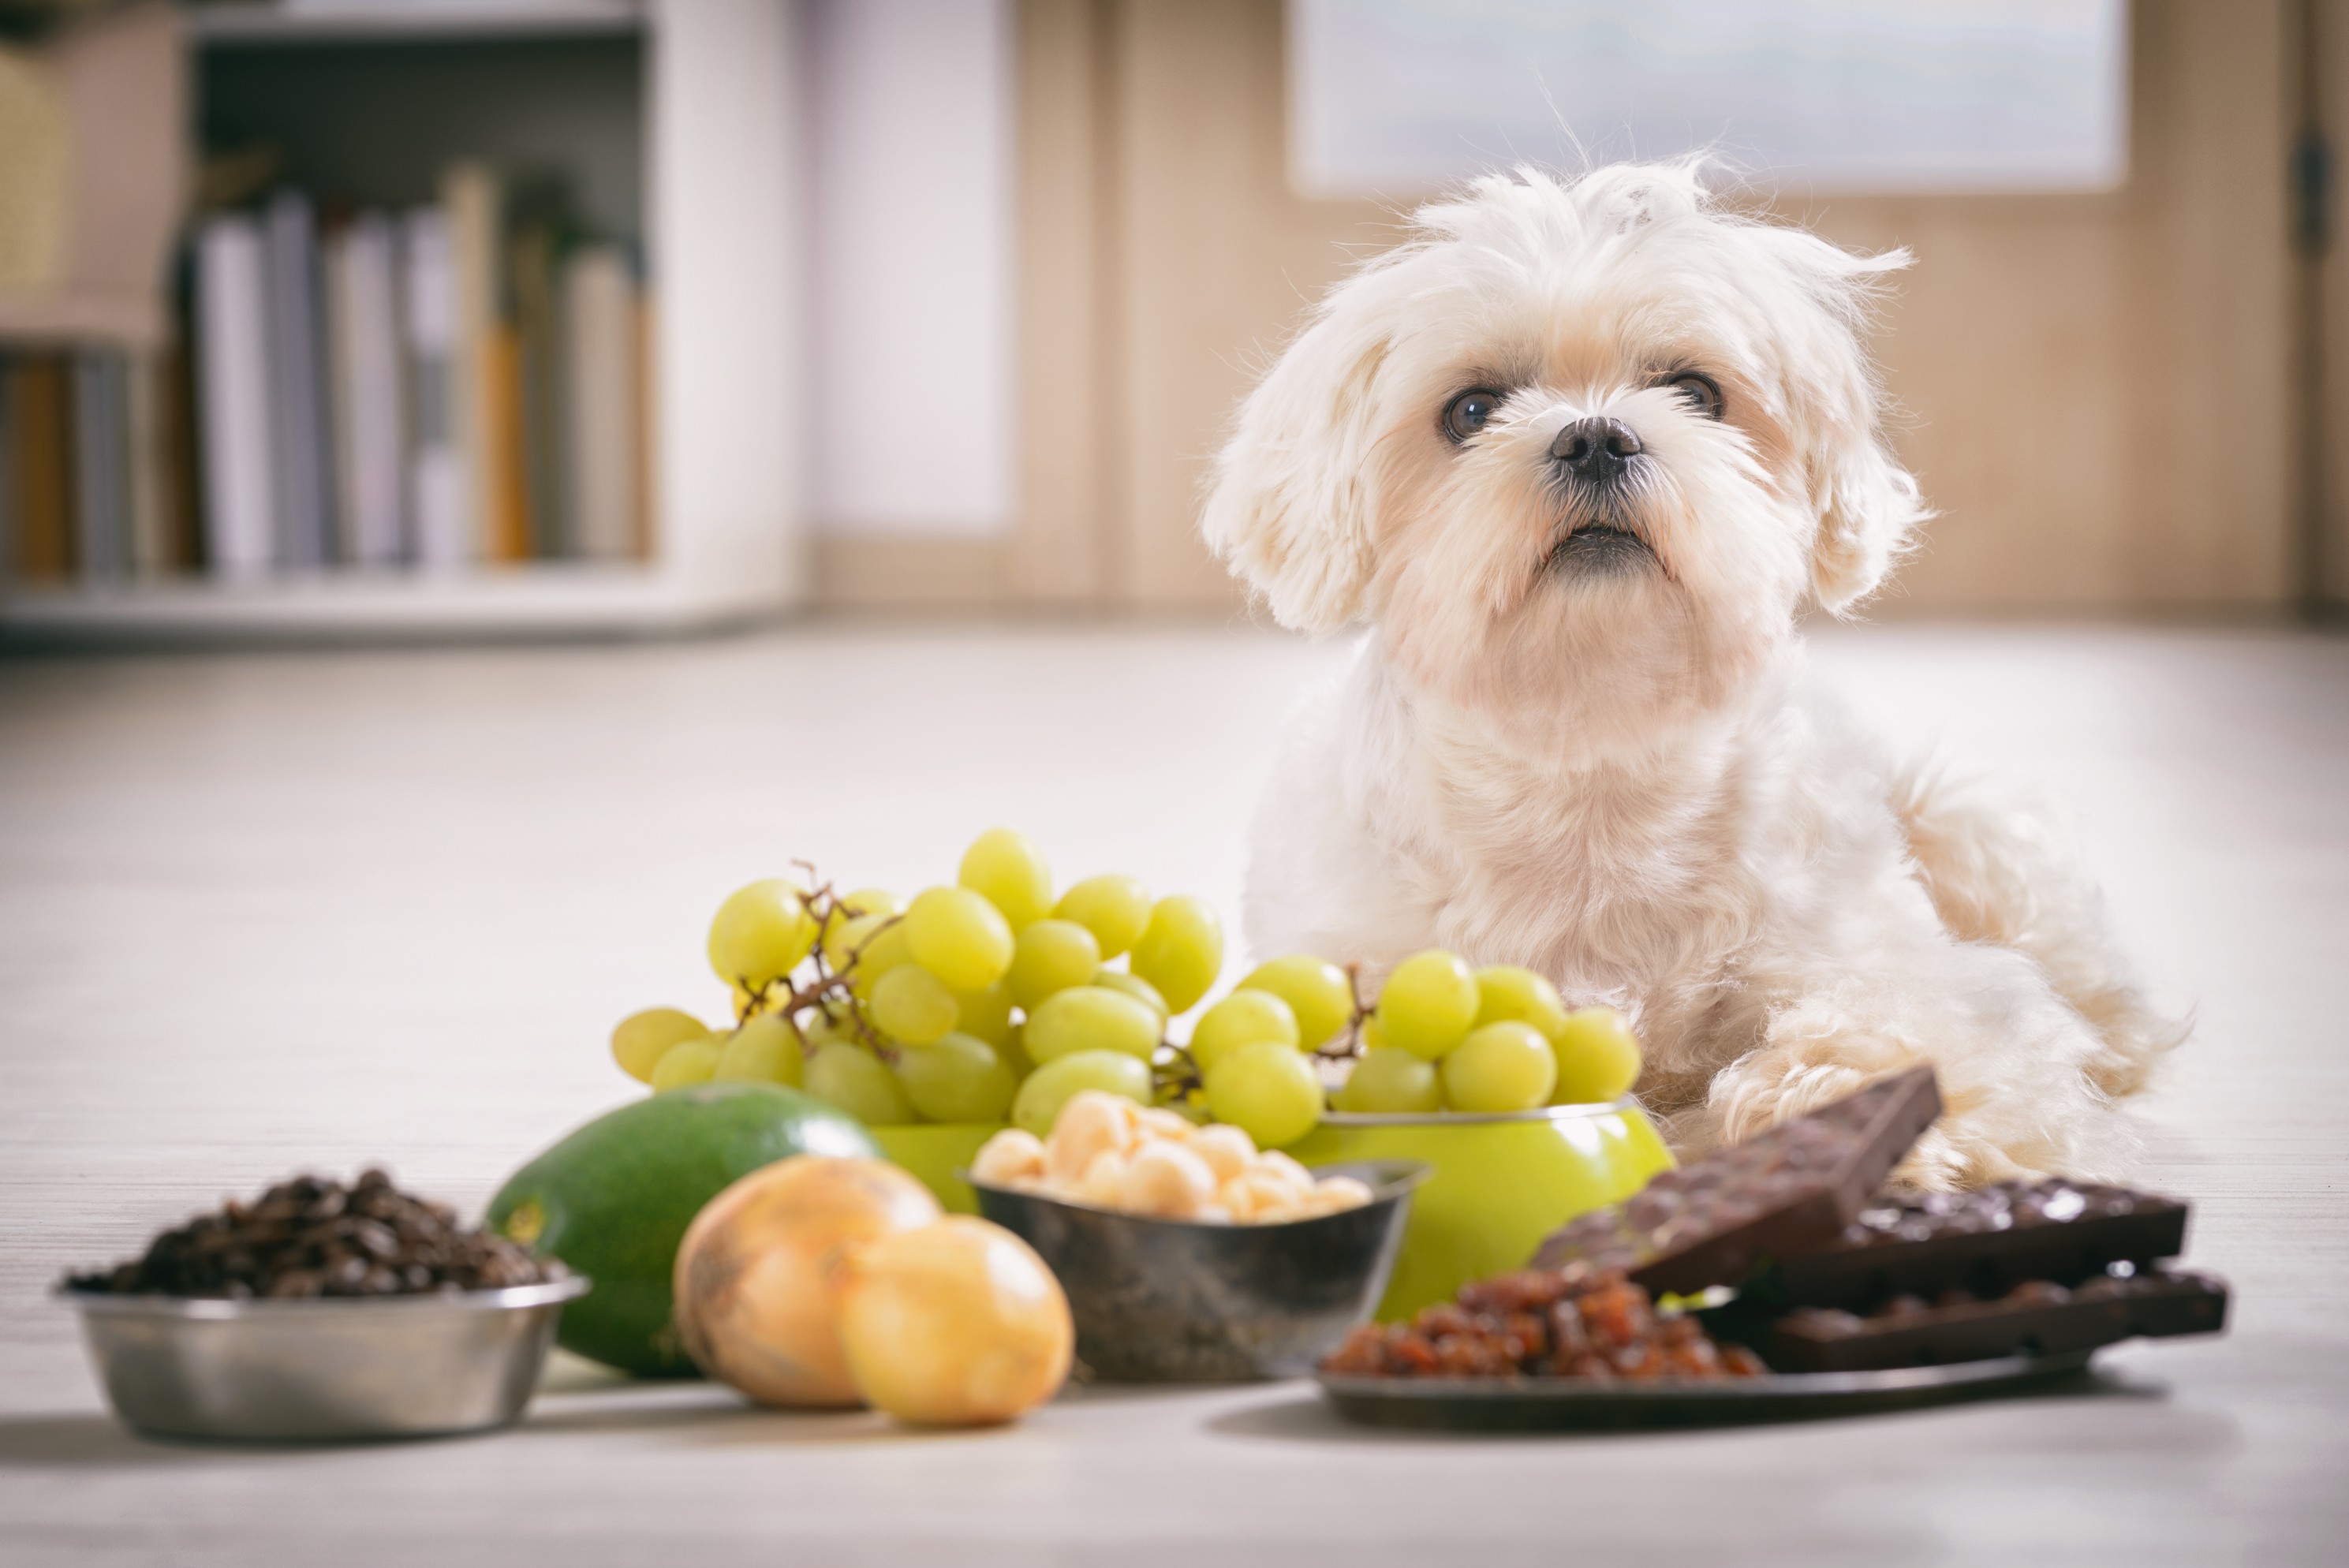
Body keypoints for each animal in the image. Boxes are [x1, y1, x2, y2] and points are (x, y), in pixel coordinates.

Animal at [1212, 162, 2179, 1187]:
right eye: (1470, 410)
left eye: (1694, 391)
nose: (1594, 436)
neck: (1593, 747)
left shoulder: (1905, 975)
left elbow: (1902, 1033)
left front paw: (1829, 1109)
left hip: (1960, 825)